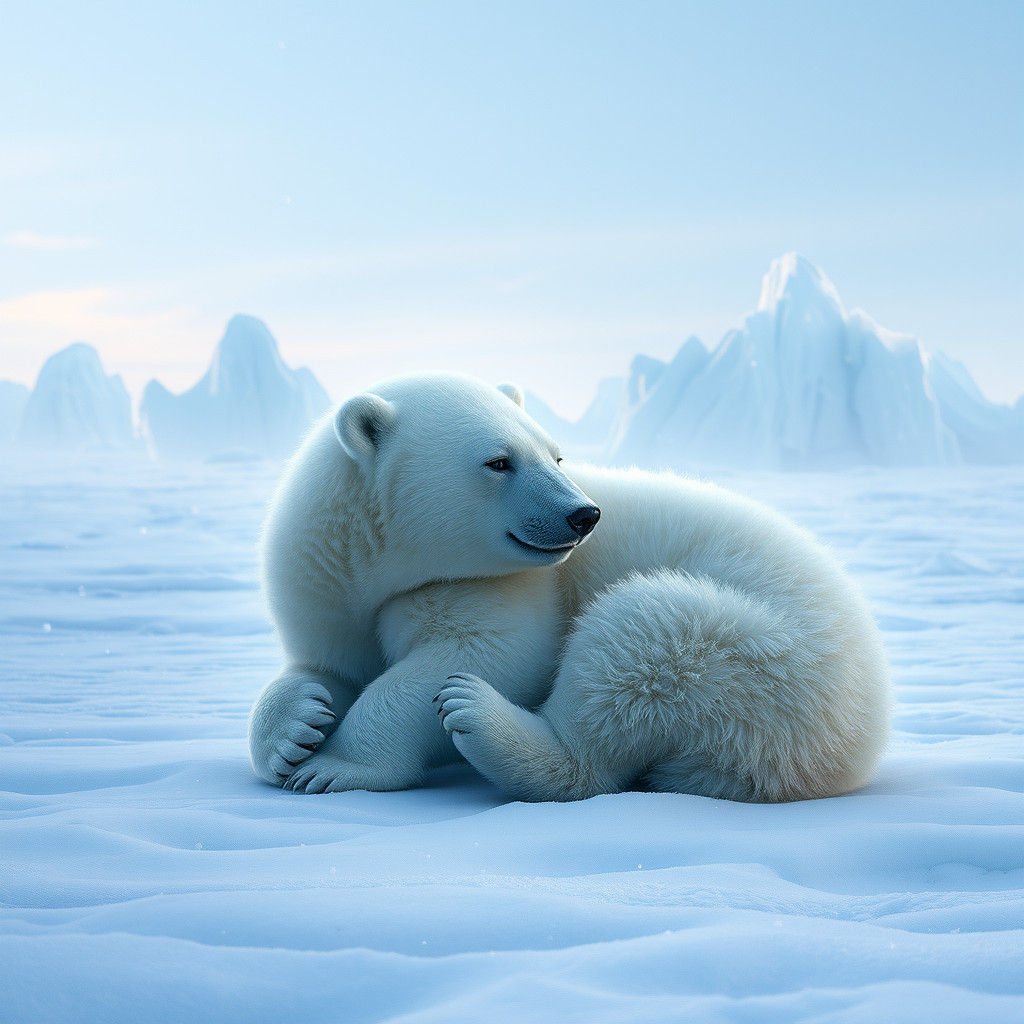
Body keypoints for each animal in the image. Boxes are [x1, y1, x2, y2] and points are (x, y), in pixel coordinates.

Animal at [248, 373, 891, 801]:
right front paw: (295, 727)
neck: (385, 558)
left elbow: (487, 651)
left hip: (772, 659)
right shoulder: (329, 592)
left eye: (556, 455)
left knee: (638, 643)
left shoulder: (506, 586)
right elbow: (326, 666)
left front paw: (334, 766)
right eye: (499, 461)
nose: (584, 514)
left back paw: (490, 722)